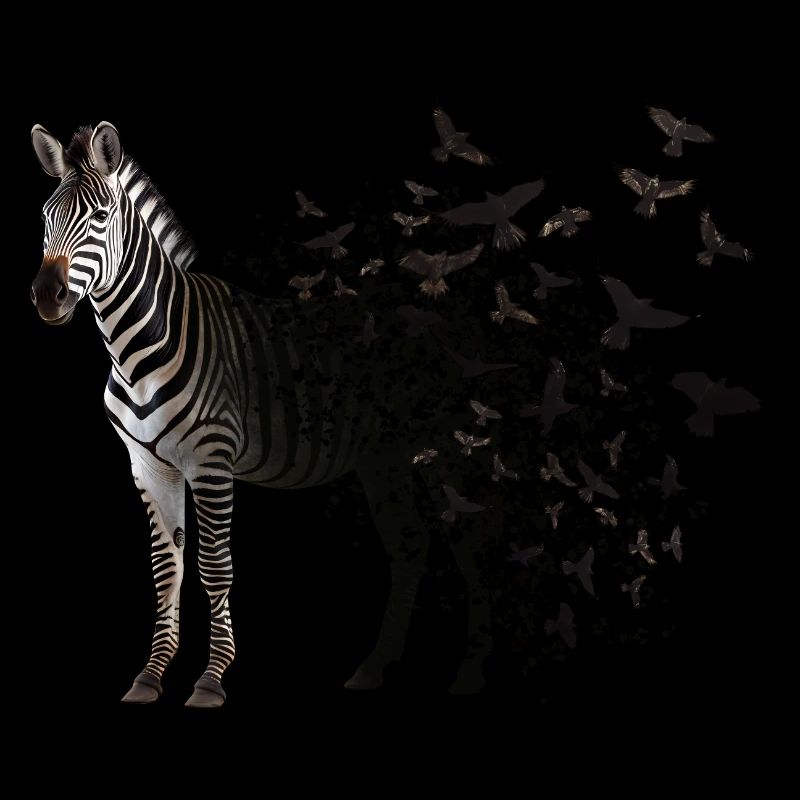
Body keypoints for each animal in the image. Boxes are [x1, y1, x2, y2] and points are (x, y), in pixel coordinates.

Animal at [30, 122, 493, 706]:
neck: (139, 349)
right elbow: (166, 569)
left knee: (471, 542)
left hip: (448, 448)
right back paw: (373, 668)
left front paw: (211, 679)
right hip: (384, 458)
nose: (47, 297)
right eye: (45, 218)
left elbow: (214, 567)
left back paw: (471, 673)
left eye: (100, 217)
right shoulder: (148, 466)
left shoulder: (211, 461)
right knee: (410, 543)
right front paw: (151, 676)